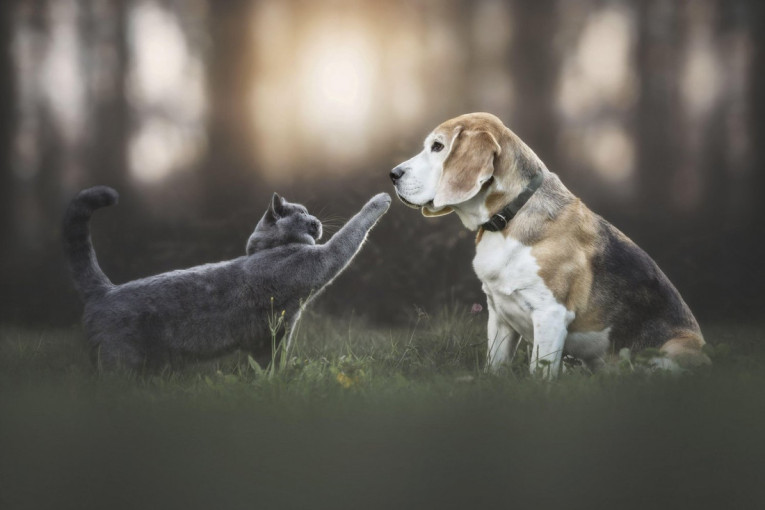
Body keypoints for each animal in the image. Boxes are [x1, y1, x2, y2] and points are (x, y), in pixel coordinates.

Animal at [62, 185, 390, 368]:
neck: (270, 248)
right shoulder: (321, 258)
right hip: (120, 359)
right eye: (303, 213)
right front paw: (381, 199)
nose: (317, 221)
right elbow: (349, 234)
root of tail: (104, 290)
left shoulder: (274, 335)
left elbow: (269, 363)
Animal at [390, 111, 708, 376]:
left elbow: (539, 373)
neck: (509, 217)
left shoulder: (551, 314)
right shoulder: (499, 315)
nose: (393, 175)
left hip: (671, 351)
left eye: (438, 147)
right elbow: (494, 366)